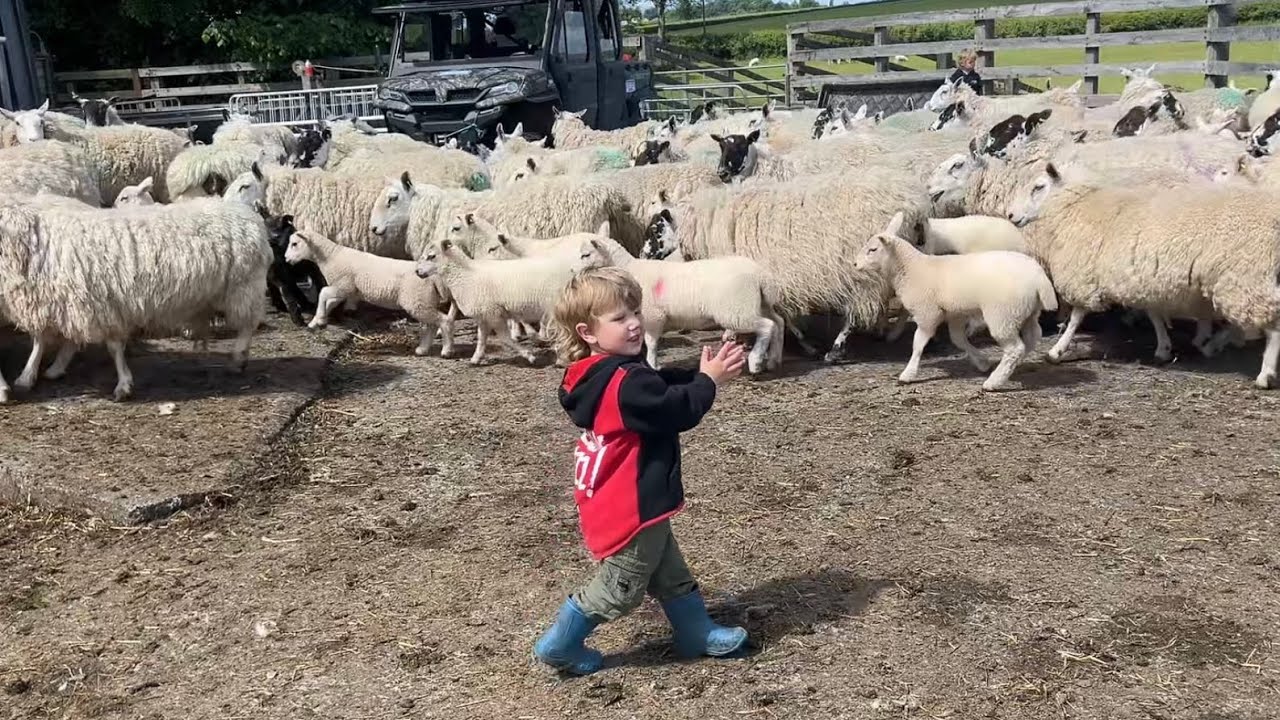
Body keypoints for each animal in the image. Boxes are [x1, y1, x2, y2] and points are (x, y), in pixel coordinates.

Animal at [0, 196, 272, 400]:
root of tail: (252, 219)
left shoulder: (102, 307)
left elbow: (112, 348)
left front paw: (123, 385)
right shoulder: (70, 303)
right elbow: (47, 341)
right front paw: (37, 374)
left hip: (243, 287)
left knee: (248, 325)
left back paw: (238, 358)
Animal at [283, 229, 452, 356]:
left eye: (295, 244)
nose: (286, 259)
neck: (330, 256)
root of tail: (432, 276)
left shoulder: (343, 284)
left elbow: (323, 293)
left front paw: (318, 319)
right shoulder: (346, 289)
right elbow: (329, 301)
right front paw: (317, 321)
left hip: (416, 301)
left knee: (444, 321)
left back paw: (446, 350)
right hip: (423, 300)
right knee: (431, 325)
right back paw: (423, 349)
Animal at [575, 237, 785, 374]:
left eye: (586, 254)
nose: (573, 272)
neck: (629, 269)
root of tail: (759, 274)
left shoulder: (652, 316)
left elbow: (651, 343)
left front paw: (653, 364)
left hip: (736, 311)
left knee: (767, 326)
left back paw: (756, 362)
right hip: (758, 303)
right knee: (779, 323)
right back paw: (774, 359)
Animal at [852, 211, 1057, 390]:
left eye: (873, 249)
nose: (854, 264)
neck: (911, 269)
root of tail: (1039, 278)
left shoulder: (927, 313)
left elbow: (918, 343)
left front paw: (908, 374)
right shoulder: (954, 313)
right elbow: (958, 340)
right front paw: (981, 362)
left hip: (1003, 314)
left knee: (1015, 349)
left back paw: (994, 382)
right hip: (1027, 311)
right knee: (1031, 338)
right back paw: (1010, 368)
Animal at [1006, 162, 1280, 388]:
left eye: (1038, 186)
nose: (1010, 215)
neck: (1079, 206)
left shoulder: (1086, 274)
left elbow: (1077, 317)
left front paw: (1056, 351)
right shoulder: (1140, 278)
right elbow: (1154, 314)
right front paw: (1163, 348)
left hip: (1244, 279)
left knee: (1272, 326)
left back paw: (1263, 375)